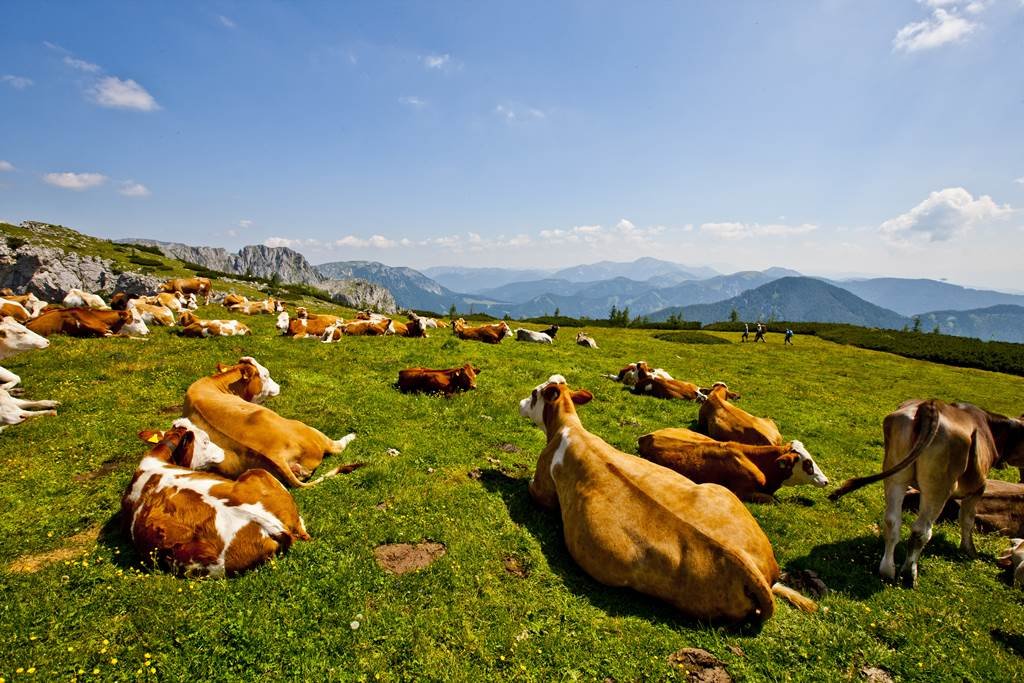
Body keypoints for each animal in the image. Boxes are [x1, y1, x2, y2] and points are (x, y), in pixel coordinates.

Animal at [184, 356, 360, 489]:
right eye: (266, 375)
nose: (279, 386)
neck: (217, 383)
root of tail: (276, 454)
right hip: (308, 429)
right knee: (336, 447)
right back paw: (351, 436)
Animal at [827, 401, 1024, 589]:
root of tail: (929, 405)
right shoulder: (977, 489)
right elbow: (967, 520)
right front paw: (969, 550)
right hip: (938, 486)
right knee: (921, 530)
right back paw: (909, 574)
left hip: (897, 475)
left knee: (892, 521)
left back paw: (887, 570)